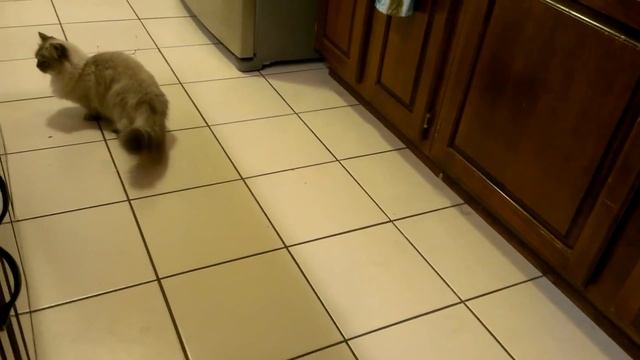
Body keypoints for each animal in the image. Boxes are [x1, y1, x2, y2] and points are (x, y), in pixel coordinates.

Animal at [35, 31, 168, 153]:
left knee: (124, 125)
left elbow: (92, 111)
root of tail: (149, 99)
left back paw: (116, 131)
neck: (80, 70)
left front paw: (89, 117)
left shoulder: (87, 101)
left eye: (43, 61)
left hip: (115, 99)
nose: (36, 66)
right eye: (36, 58)